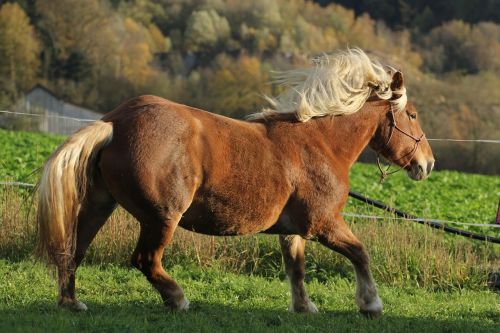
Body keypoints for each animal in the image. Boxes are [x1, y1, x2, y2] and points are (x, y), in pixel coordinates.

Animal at [36, 48, 434, 316]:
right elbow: (360, 254)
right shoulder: (323, 223)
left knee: (74, 251)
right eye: (413, 115)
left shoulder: (292, 231)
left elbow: (296, 268)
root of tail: (115, 122)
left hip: (100, 205)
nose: (427, 164)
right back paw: (178, 299)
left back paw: (72, 302)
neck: (320, 144)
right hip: (161, 217)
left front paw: (304, 307)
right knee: (145, 259)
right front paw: (371, 304)